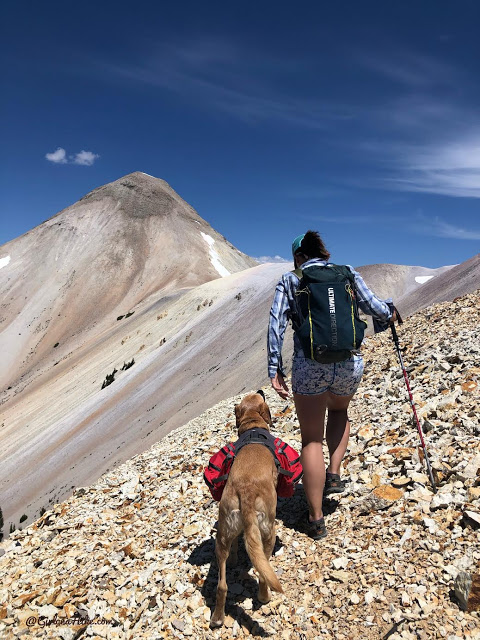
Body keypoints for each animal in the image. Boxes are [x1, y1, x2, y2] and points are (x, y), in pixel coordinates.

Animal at [211, 388, 284, 628]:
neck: (252, 428)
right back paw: (264, 596)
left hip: (222, 535)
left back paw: (217, 617)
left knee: (222, 585)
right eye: (260, 397)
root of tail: (246, 491)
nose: (261, 389)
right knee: (263, 572)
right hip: (267, 532)